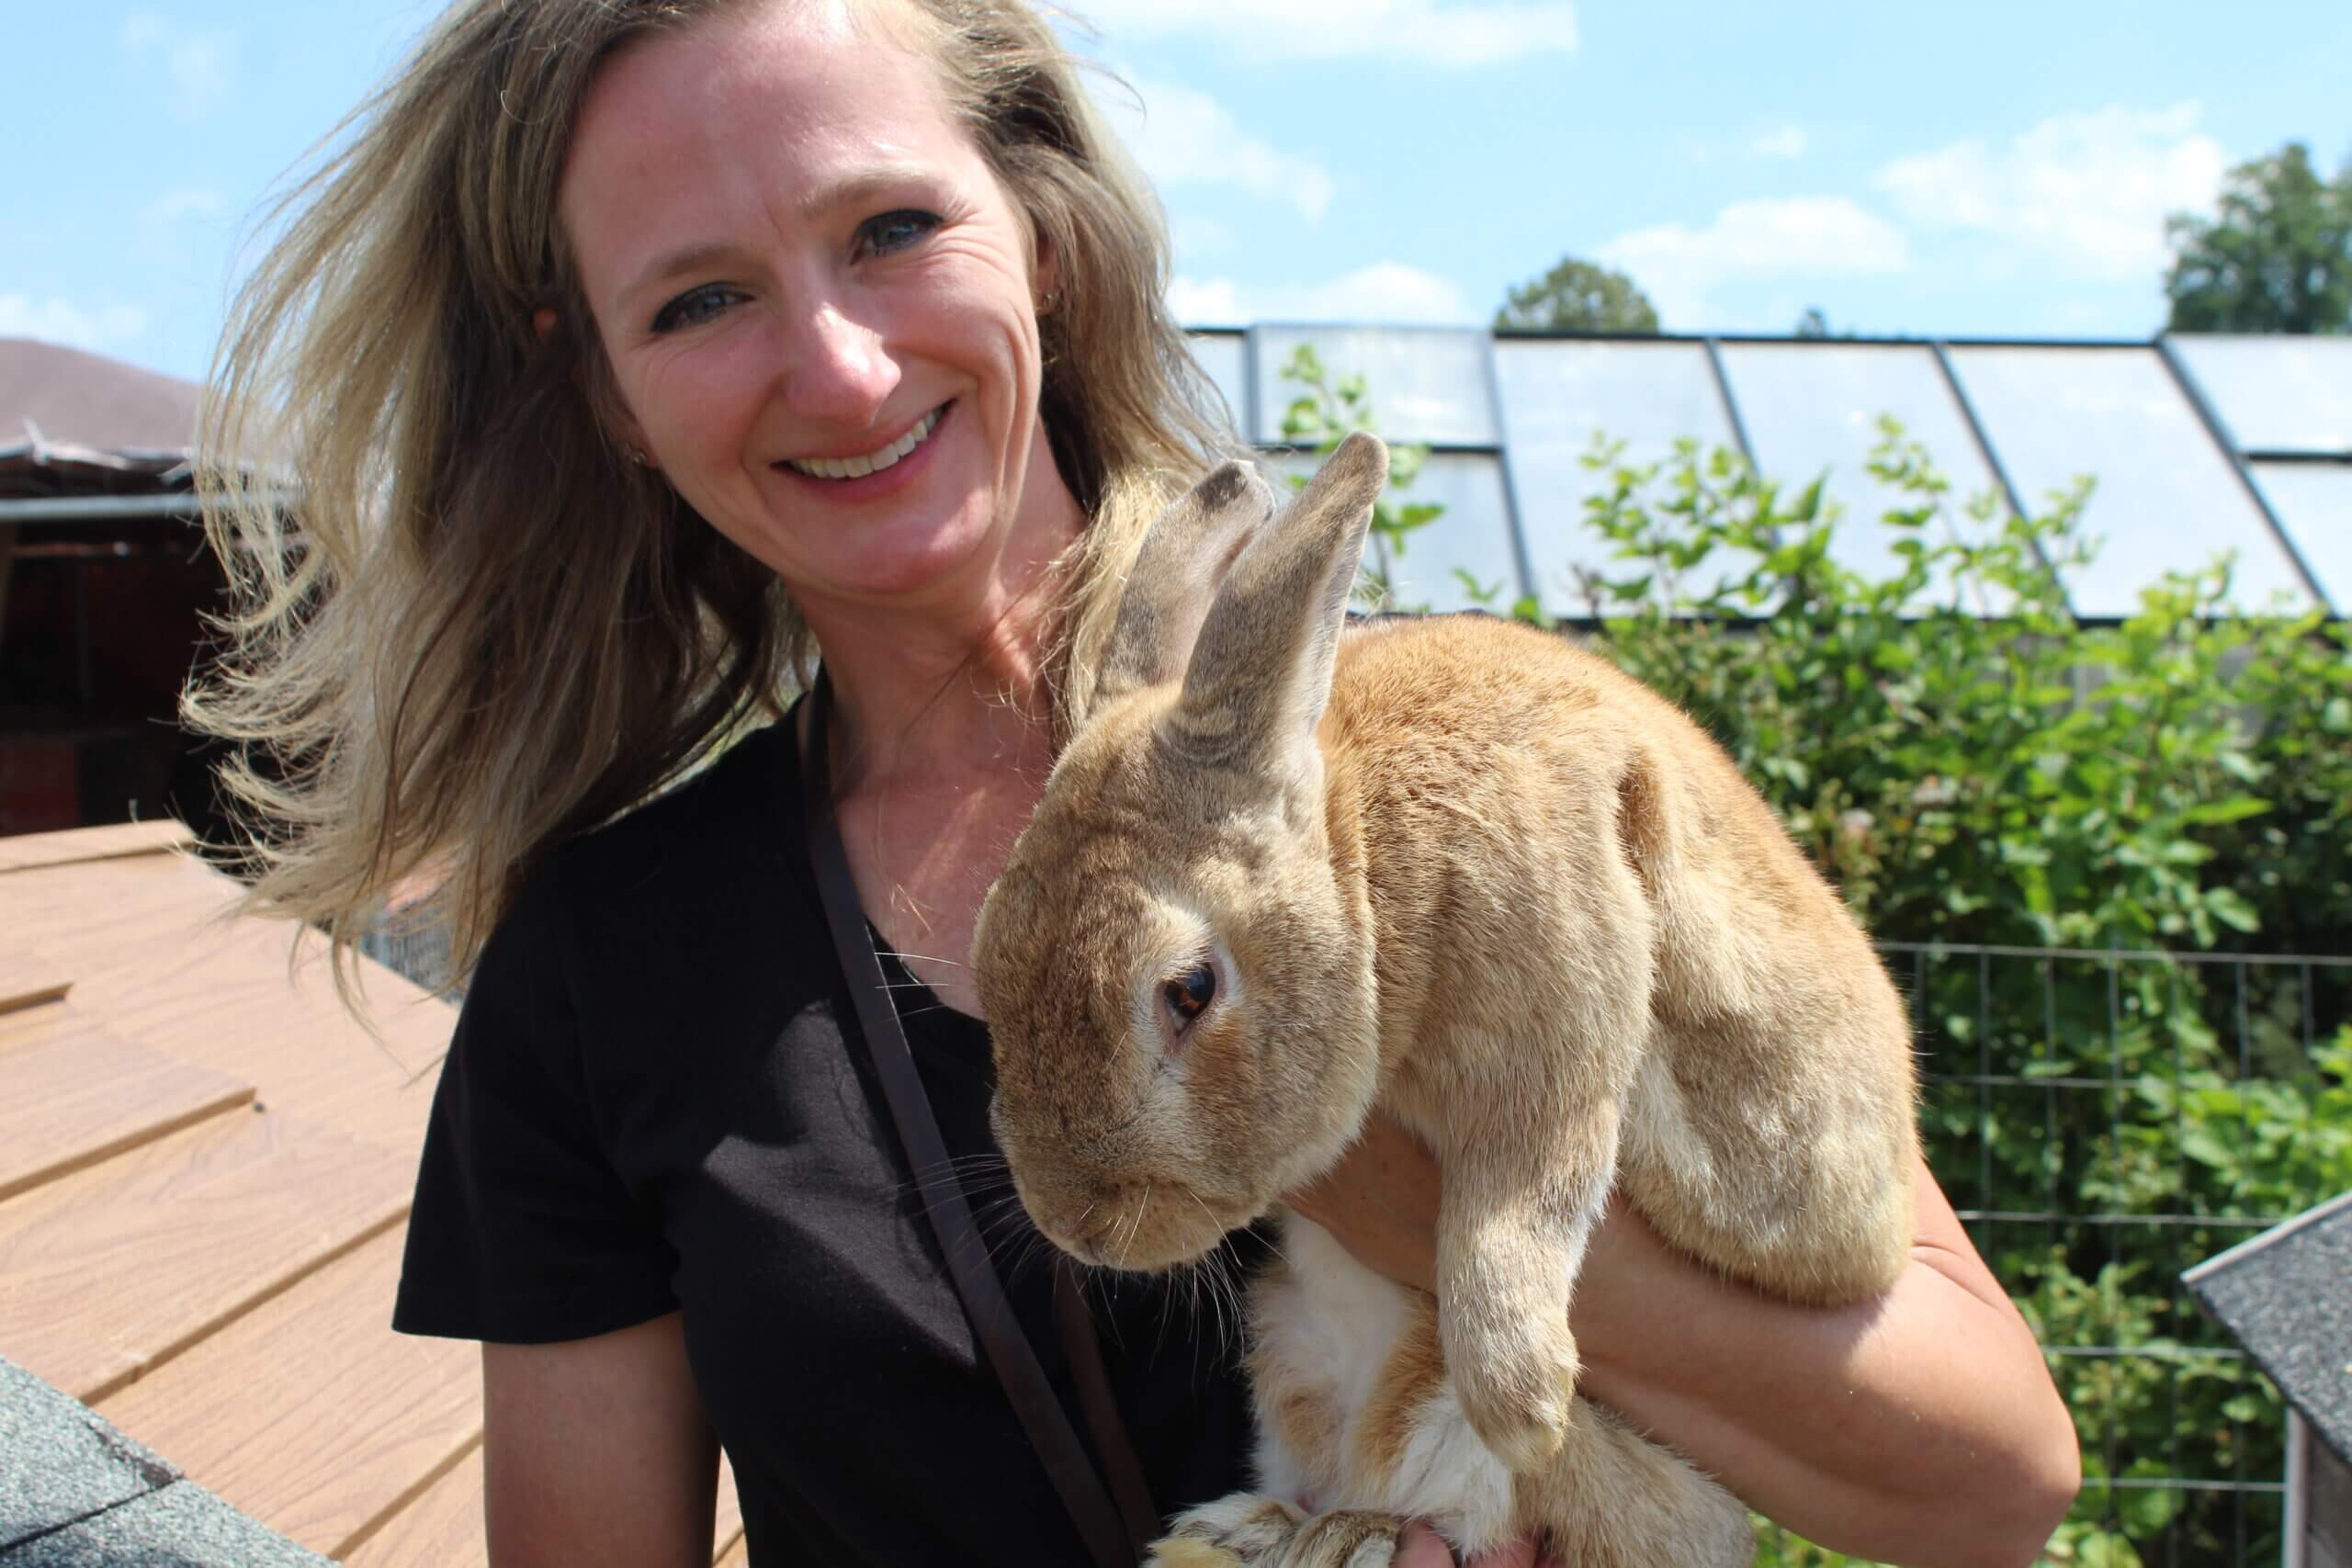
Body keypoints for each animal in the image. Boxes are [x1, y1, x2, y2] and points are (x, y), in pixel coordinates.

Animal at [964, 432, 1918, 1568]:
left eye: (1187, 991)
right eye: (986, 954)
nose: (1076, 1228)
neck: (1364, 856)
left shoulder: (1560, 1017)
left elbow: (1518, 1196)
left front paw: (1526, 1399)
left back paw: (1348, 1536)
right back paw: (1243, 1533)